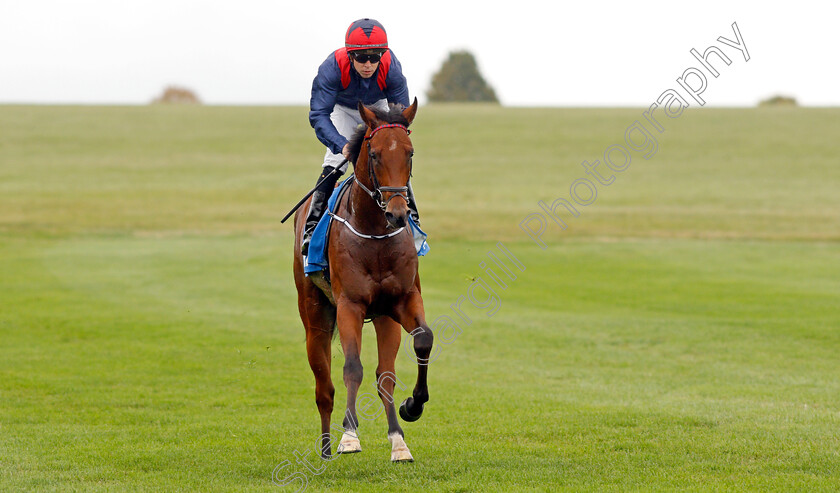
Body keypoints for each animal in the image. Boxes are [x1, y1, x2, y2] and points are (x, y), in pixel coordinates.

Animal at [292, 99, 434, 462]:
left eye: (410, 153)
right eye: (375, 154)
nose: (398, 213)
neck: (375, 233)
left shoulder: (402, 300)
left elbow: (423, 340)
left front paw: (412, 408)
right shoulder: (350, 305)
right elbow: (352, 367)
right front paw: (349, 436)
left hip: (383, 318)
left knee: (385, 375)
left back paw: (398, 441)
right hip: (315, 316)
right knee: (324, 386)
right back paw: (327, 448)